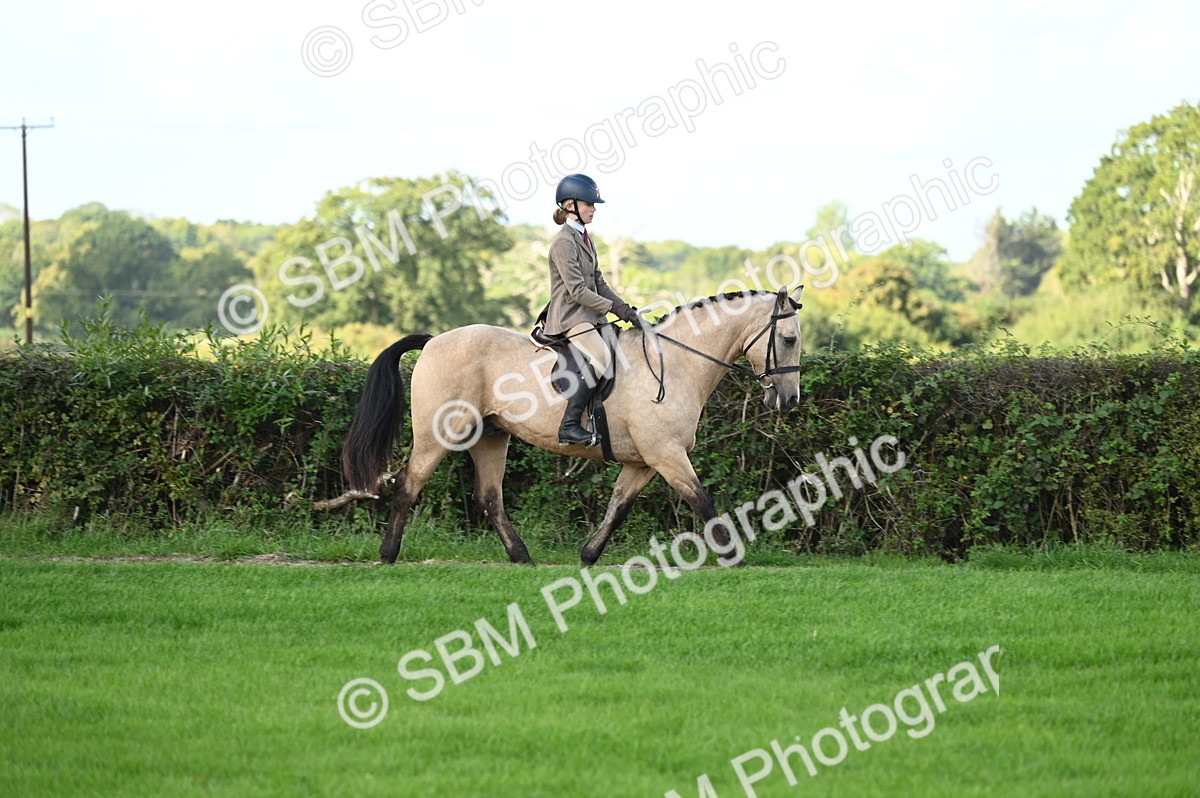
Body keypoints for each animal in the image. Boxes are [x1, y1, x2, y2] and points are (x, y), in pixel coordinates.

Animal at [340, 286, 803, 566]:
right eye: (790, 340)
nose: (789, 400)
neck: (677, 363)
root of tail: (434, 340)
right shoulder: (667, 454)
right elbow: (702, 502)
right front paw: (732, 555)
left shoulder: (644, 461)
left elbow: (619, 507)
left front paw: (588, 554)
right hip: (440, 435)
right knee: (409, 485)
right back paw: (388, 554)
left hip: (491, 436)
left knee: (490, 498)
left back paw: (521, 556)